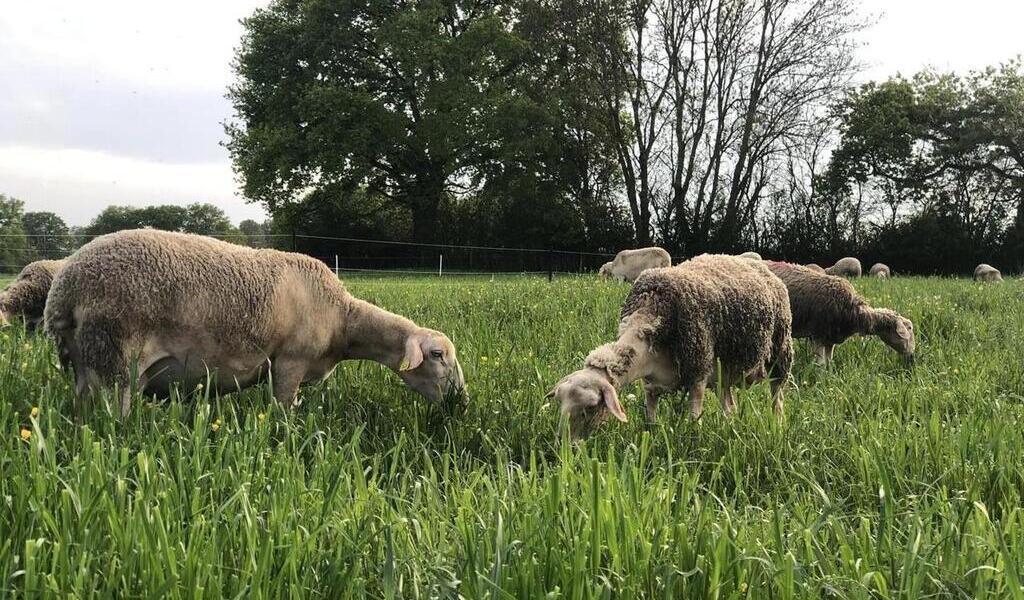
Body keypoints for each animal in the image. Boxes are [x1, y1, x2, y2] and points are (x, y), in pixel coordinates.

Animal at [43, 226, 468, 417]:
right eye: (437, 355)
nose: (461, 402)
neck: (343, 320)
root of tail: (65, 289)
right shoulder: (291, 361)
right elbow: (283, 410)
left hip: (86, 362)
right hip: (114, 355)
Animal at [548, 249, 794, 436]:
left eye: (590, 408)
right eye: (560, 404)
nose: (566, 447)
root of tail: (757, 264)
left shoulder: (697, 370)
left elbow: (695, 418)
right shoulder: (650, 383)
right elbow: (650, 418)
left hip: (780, 351)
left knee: (778, 397)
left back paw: (777, 425)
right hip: (726, 370)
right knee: (729, 404)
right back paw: (729, 428)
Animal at [765, 260, 917, 364]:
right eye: (909, 328)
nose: (912, 357)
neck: (854, 312)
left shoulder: (830, 337)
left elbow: (828, 362)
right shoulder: (818, 333)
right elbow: (820, 364)